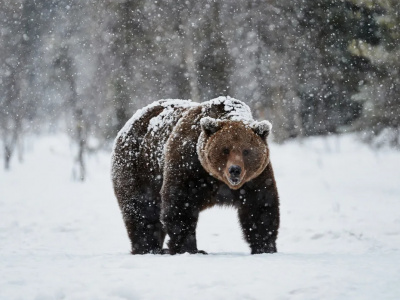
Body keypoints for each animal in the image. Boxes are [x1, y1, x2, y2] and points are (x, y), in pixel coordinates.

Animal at [111, 96, 280, 255]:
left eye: (246, 151)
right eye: (225, 149)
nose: (235, 170)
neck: (217, 179)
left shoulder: (255, 178)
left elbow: (260, 207)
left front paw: (265, 247)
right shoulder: (188, 166)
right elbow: (180, 205)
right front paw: (189, 248)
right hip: (139, 168)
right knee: (142, 210)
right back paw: (148, 248)